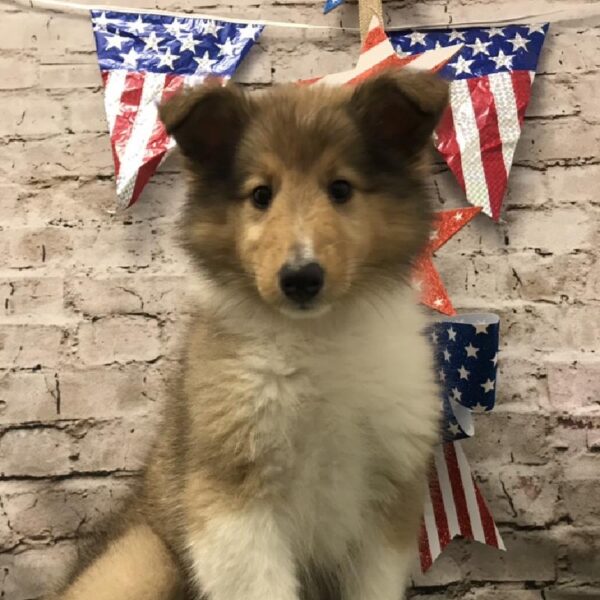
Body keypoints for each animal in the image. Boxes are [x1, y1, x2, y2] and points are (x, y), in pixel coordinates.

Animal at [54, 67, 448, 600]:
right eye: (261, 194)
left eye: (341, 188)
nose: (301, 278)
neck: (316, 336)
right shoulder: (233, 500)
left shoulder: (386, 505)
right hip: (145, 557)